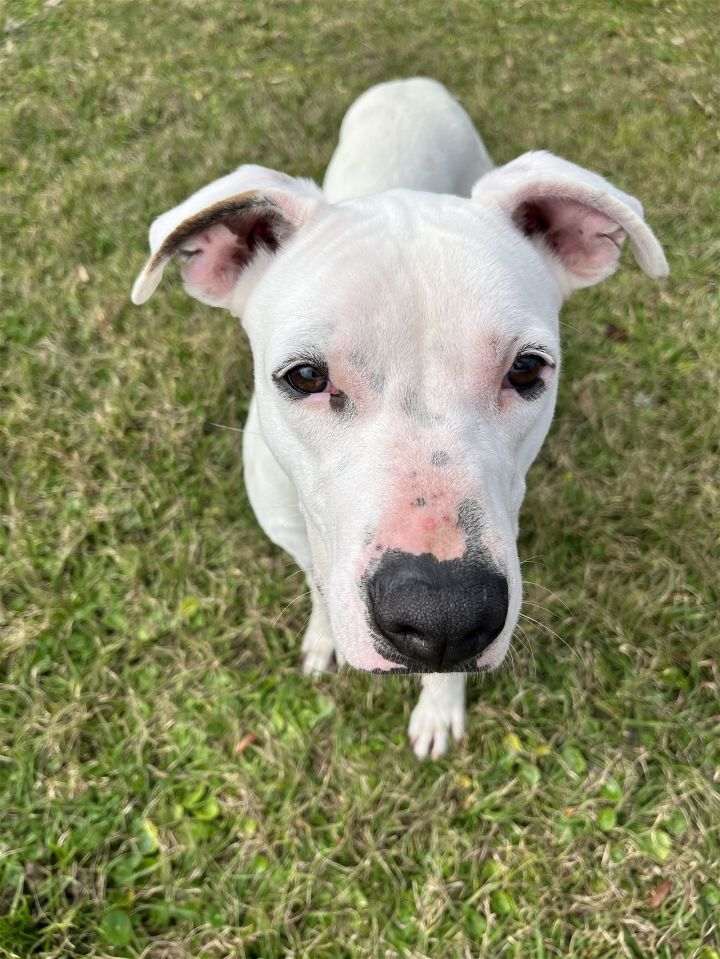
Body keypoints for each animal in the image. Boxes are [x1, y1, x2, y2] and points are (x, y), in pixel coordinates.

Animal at [132, 79, 668, 756]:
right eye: (304, 376)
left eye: (527, 369)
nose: (444, 617)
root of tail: (411, 83)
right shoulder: (295, 532)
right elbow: (319, 578)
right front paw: (324, 637)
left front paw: (439, 706)